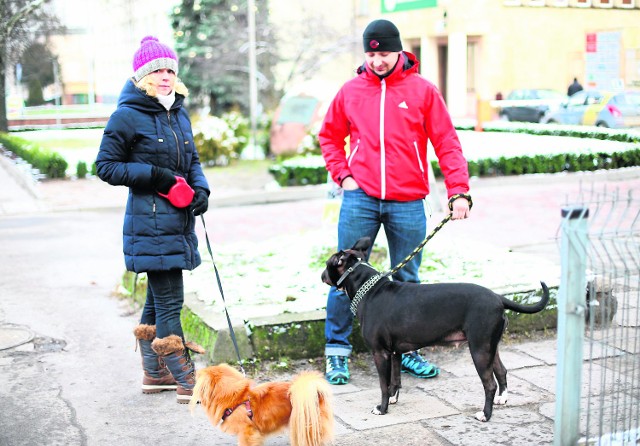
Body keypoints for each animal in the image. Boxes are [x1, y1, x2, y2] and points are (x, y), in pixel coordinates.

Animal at [320, 237, 552, 422]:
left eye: (328, 263)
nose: (321, 274)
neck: (368, 289)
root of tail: (498, 298)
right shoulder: (395, 352)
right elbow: (395, 380)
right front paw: (394, 399)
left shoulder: (380, 353)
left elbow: (383, 384)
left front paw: (382, 408)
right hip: (490, 347)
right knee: (502, 371)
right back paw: (502, 399)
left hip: (479, 349)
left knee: (490, 384)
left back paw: (485, 415)